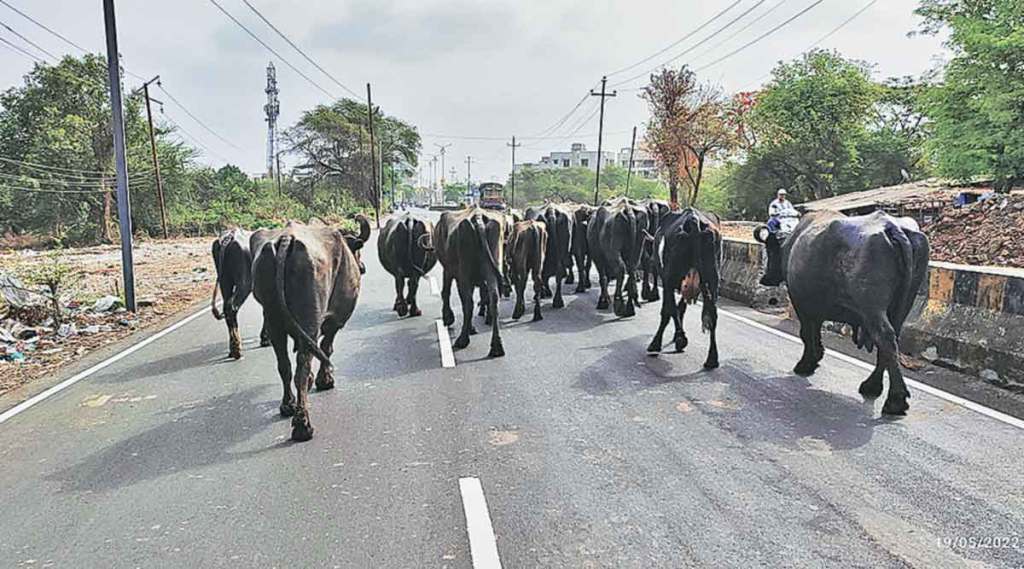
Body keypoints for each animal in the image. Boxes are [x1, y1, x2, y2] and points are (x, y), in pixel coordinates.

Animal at [643, 206, 724, 370]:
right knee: (712, 315)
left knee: (669, 309)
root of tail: (694, 219)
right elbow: (680, 308)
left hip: (671, 276)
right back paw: (712, 359)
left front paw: (669, 340)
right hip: (712, 279)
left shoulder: (667, 281)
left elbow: (669, 310)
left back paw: (673, 340)